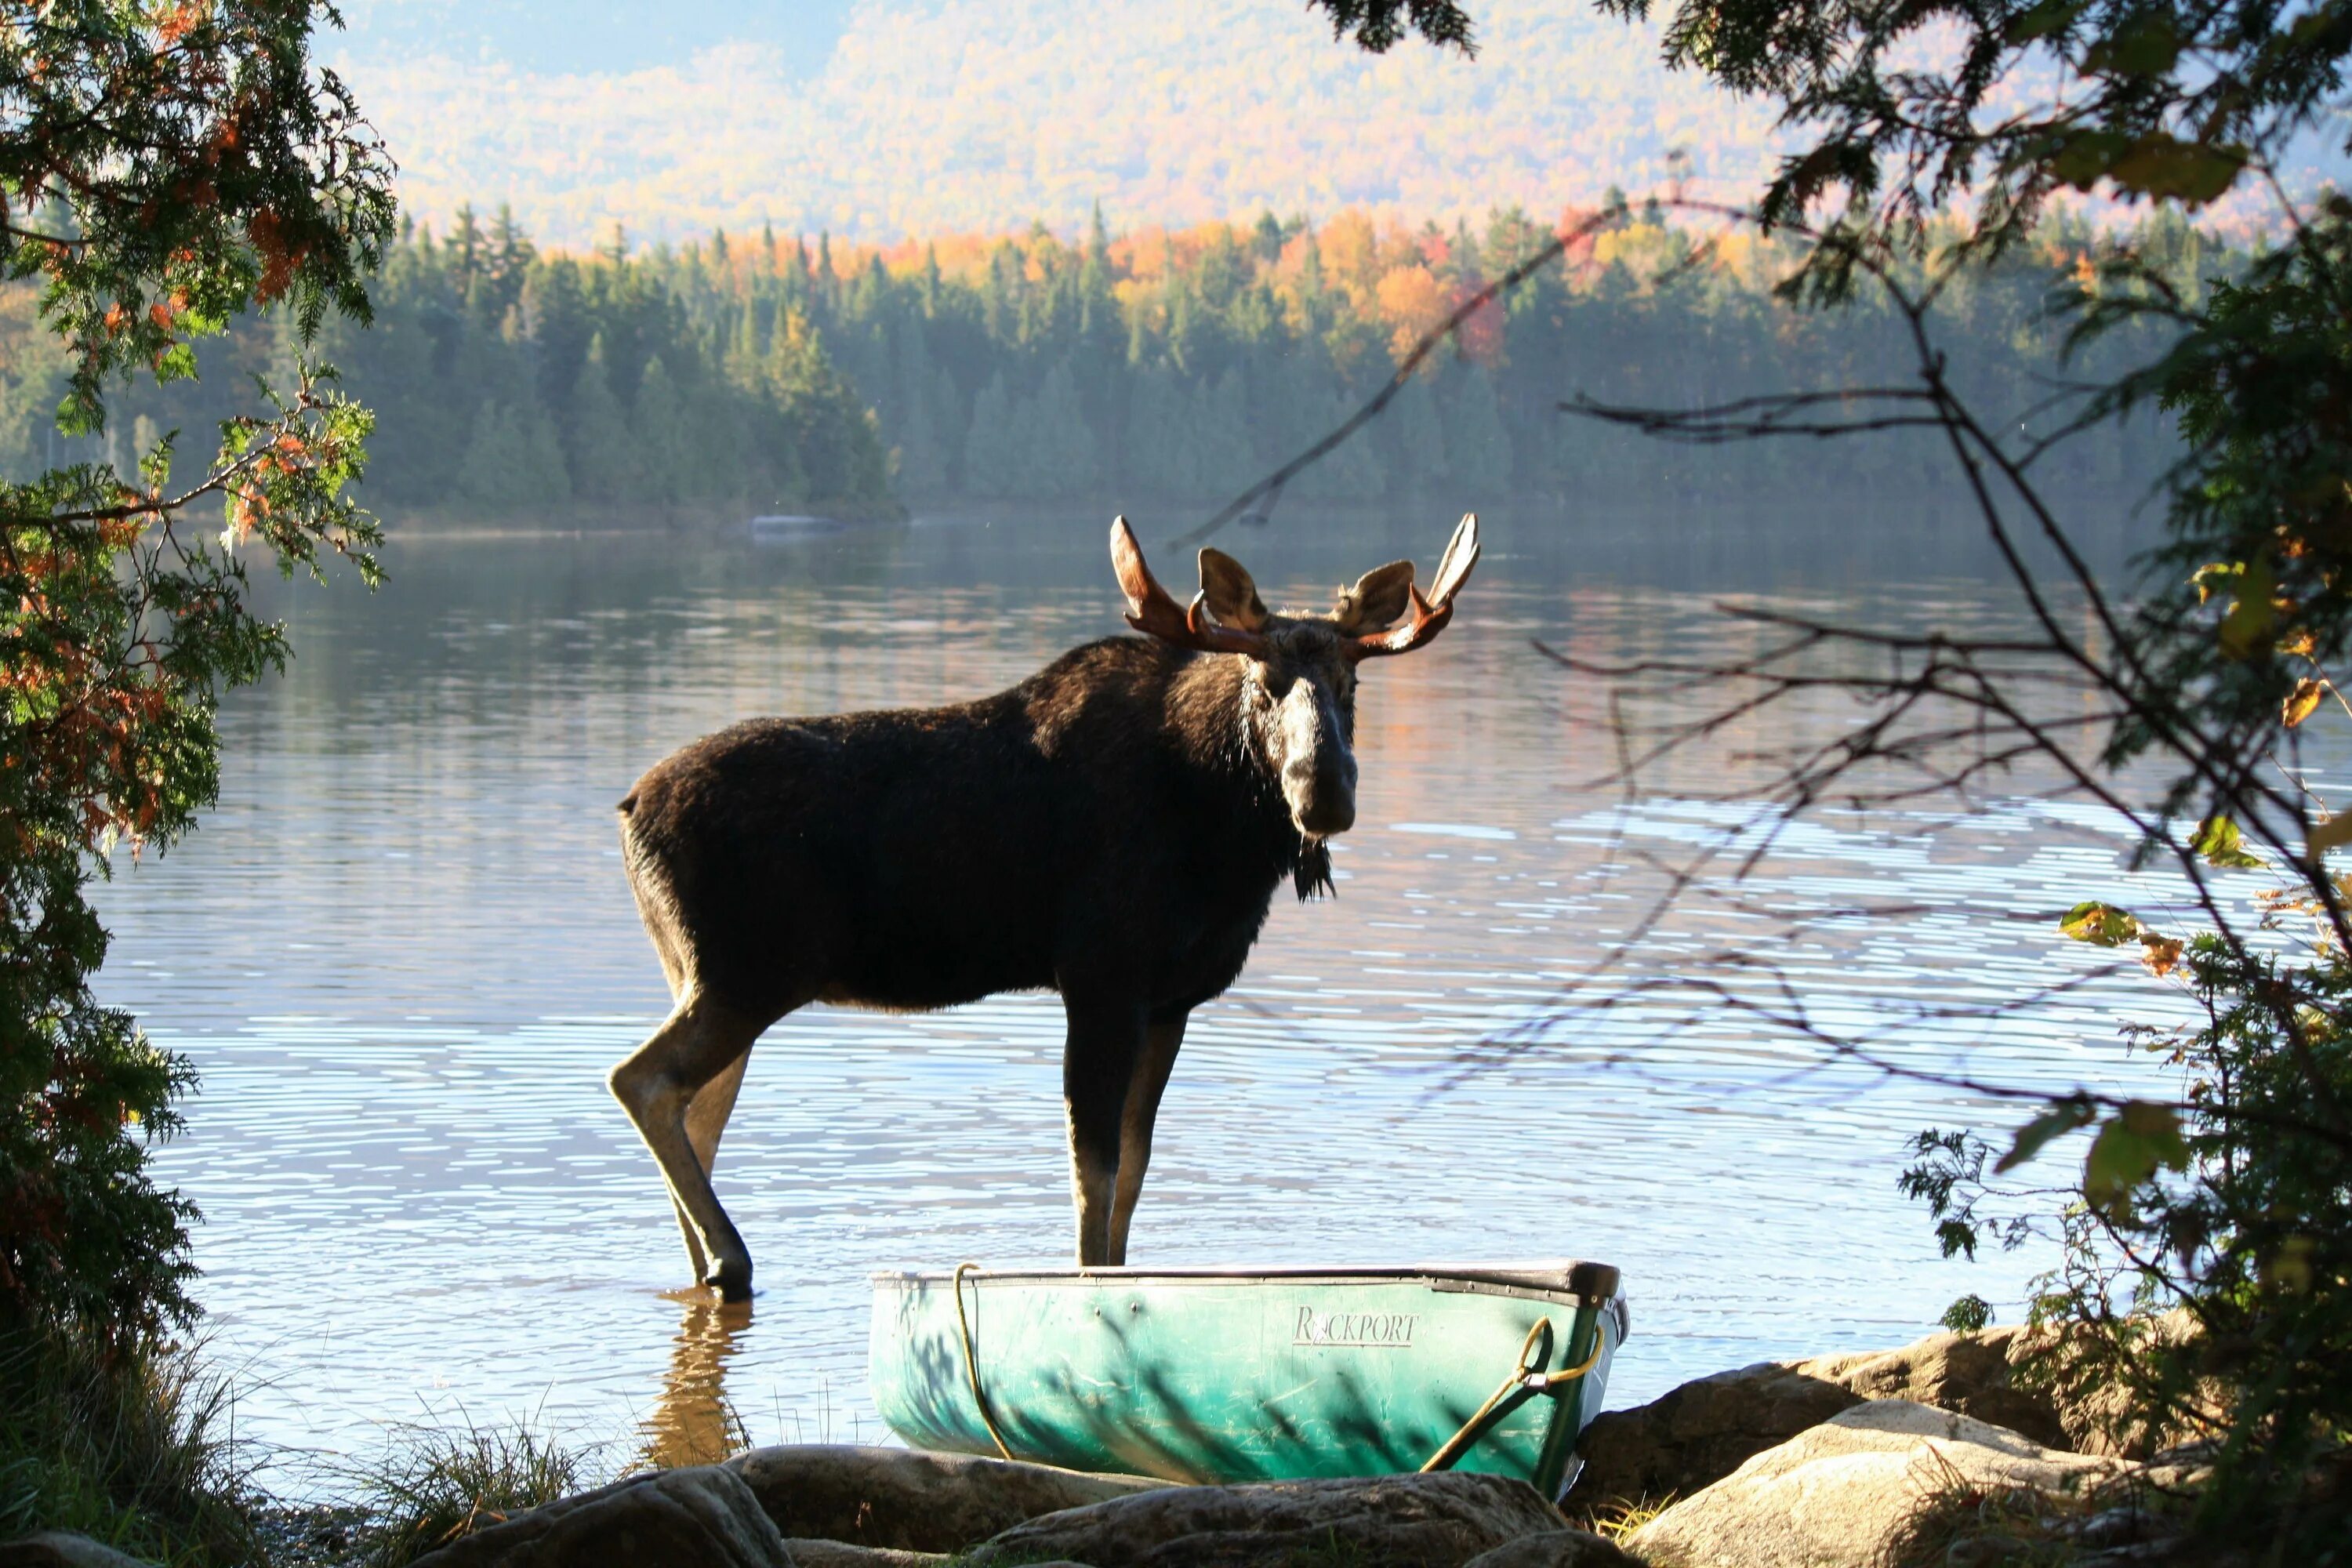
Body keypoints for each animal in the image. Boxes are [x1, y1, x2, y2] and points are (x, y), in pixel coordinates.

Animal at [616, 514, 1477, 1298]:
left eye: (1351, 686)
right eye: (1264, 684)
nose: (1323, 788)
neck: (1222, 841)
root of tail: (627, 812)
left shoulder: (1171, 1001)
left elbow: (1135, 1167)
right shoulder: (1101, 977)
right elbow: (1092, 1170)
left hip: (701, 974)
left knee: (697, 1113)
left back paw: (704, 1264)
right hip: (746, 974)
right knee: (642, 1081)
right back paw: (731, 1260)